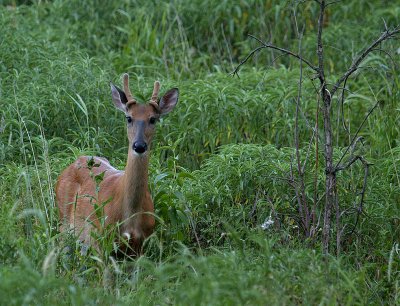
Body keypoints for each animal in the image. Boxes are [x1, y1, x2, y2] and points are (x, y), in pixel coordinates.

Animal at [55, 74, 178, 256]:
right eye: (129, 118)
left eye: (153, 119)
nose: (139, 146)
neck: (130, 215)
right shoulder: (101, 239)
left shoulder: (141, 245)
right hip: (64, 223)